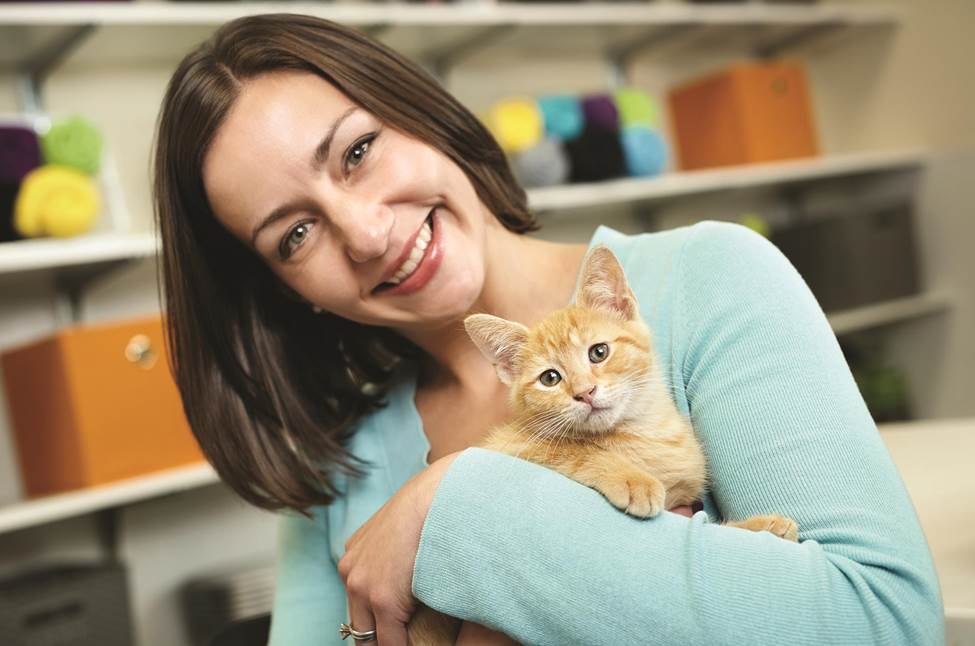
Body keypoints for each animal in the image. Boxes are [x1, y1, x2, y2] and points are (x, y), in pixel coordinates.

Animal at [408, 246, 796, 644]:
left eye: (598, 352)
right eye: (550, 378)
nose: (585, 392)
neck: (640, 433)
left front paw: (760, 527)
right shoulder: (511, 445)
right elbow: (572, 451)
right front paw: (632, 478)